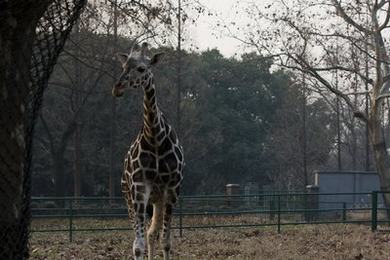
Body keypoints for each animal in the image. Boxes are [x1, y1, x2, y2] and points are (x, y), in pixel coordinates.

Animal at [112, 43, 185, 260]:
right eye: (124, 66)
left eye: (141, 68)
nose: (117, 88)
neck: (155, 139)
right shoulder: (139, 188)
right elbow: (138, 245)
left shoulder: (172, 189)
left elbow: (166, 242)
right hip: (128, 195)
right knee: (145, 234)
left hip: (157, 200)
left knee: (153, 233)